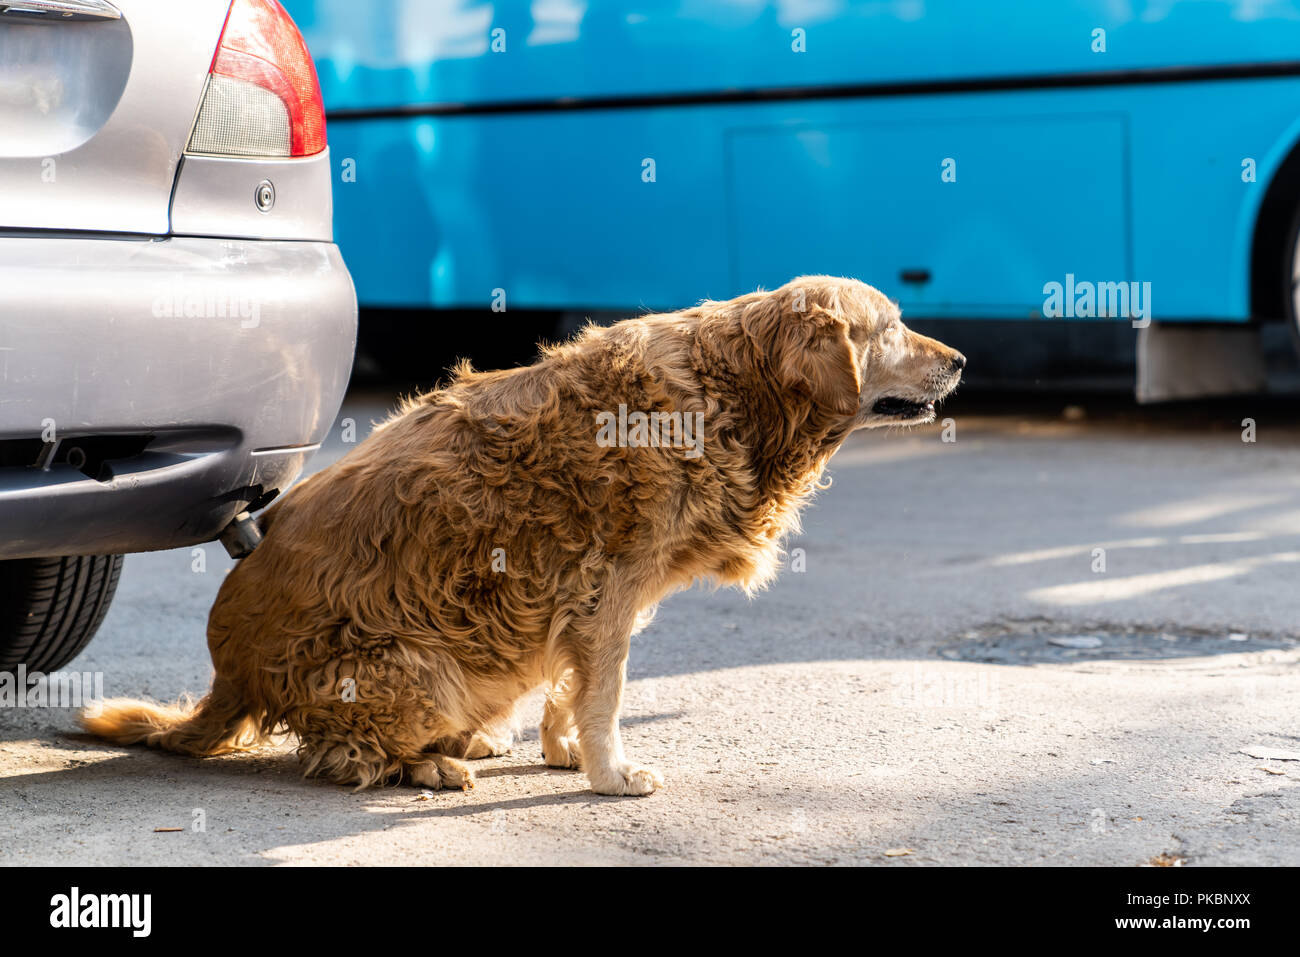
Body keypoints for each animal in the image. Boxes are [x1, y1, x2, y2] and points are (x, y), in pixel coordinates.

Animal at [78, 274, 956, 790]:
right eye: (892, 326)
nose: (961, 359)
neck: (734, 388)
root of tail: (230, 670)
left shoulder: (596, 596)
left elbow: (572, 684)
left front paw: (566, 749)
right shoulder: (610, 586)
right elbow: (605, 691)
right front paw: (607, 771)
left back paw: (466, 744)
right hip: (418, 668)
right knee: (339, 753)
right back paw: (428, 763)